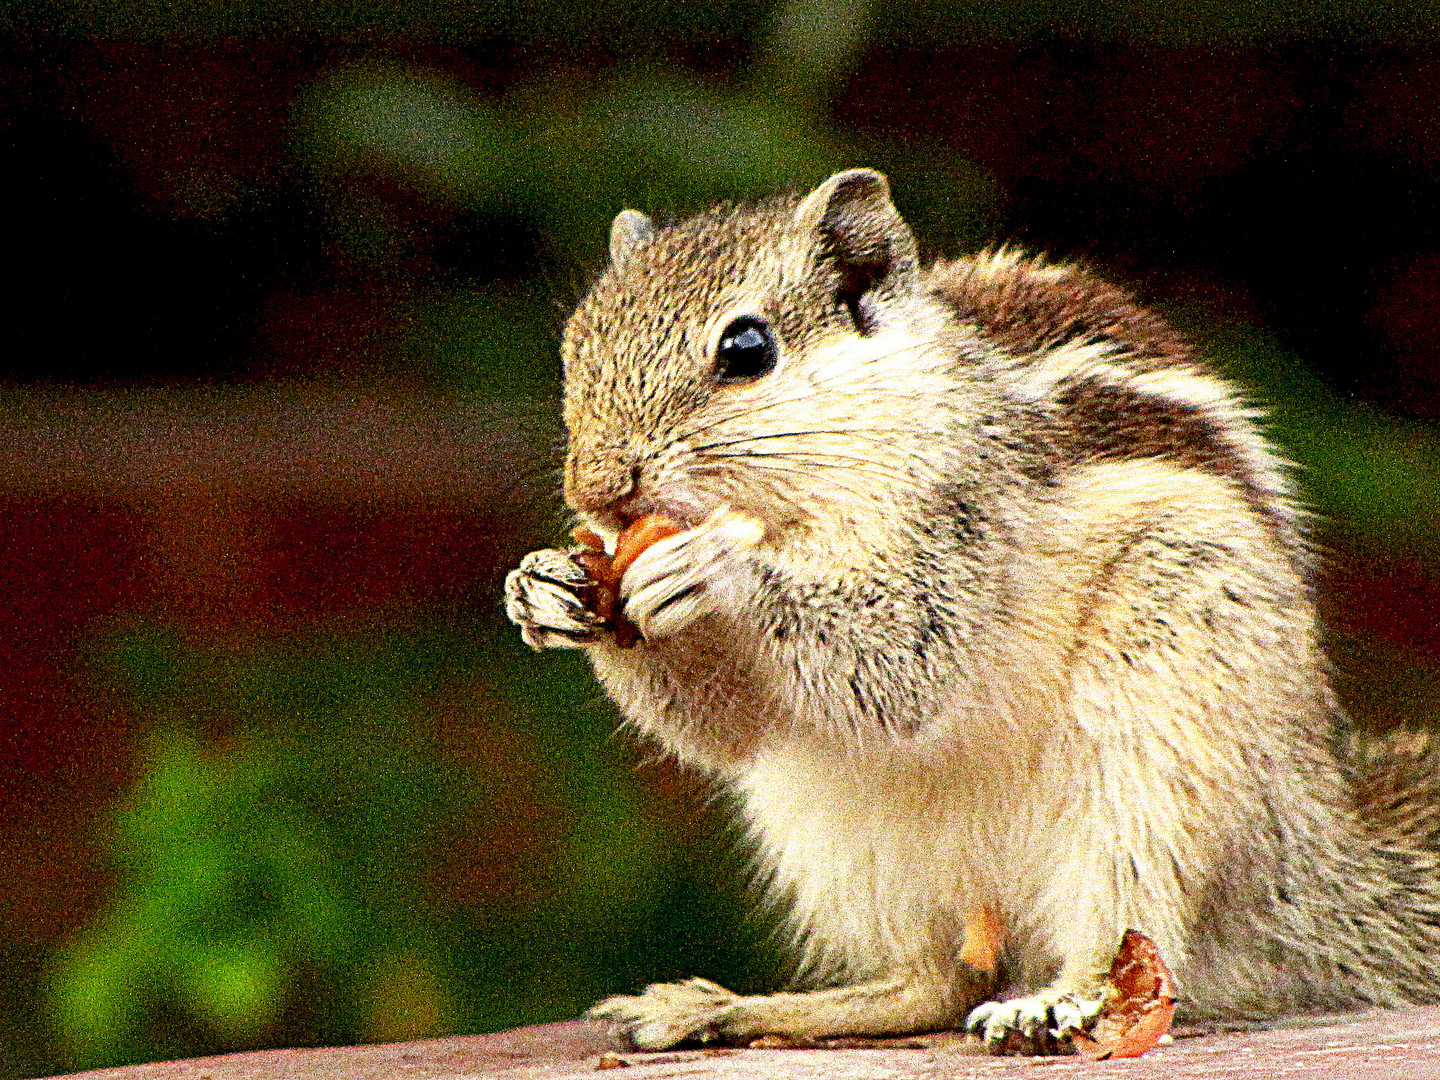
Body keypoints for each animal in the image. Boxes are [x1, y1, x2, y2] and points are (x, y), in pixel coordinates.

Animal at [501, 169, 1440, 1059]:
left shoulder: (967, 526)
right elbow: (722, 728)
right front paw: (544, 587)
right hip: (833, 835)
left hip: (1154, 739)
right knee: (929, 988)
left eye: (746, 349)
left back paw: (1060, 1003)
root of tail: (1312, 831)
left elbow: (902, 663)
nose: (597, 490)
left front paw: (719, 567)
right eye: (573, 348)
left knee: (1130, 942)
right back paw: (729, 1010)